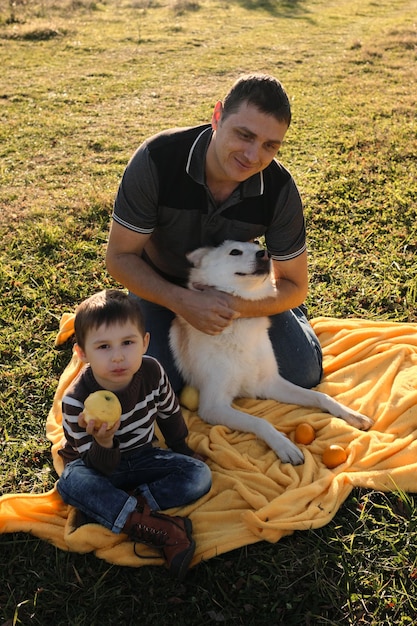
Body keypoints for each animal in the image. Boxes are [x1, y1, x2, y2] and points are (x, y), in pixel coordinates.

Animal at [169, 239, 370, 464]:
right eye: (234, 252)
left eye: (257, 247)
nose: (265, 254)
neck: (239, 326)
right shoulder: (213, 405)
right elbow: (259, 421)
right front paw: (284, 445)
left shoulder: (270, 383)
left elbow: (321, 396)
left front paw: (349, 413)